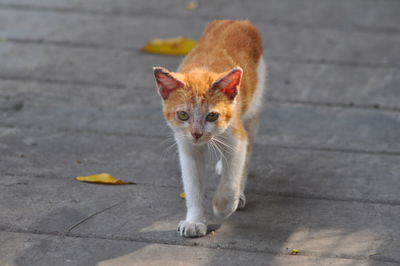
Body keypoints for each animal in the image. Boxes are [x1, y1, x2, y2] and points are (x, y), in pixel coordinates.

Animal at [153, 20, 266, 237]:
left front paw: (224, 206)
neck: (202, 69)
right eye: (183, 115)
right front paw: (194, 221)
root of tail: (238, 21)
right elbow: (193, 186)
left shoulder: (236, 137)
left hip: (252, 110)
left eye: (212, 116)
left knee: (247, 156)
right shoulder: (187, 146)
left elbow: (232, 175)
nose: (197, 133)